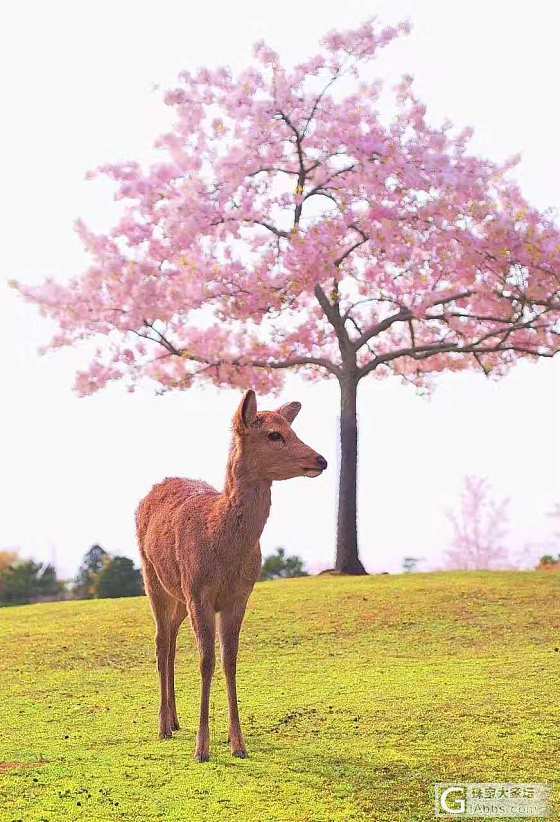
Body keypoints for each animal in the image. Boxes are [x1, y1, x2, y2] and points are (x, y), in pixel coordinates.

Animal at [136, 390, 328, 764]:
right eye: (274, 434)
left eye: (292, 429)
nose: (321, 460)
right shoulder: (200, 593)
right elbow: (206, 661)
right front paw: (202, 749)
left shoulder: (239, 596)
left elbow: (230, 661)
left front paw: (237, 743)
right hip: (153, 577)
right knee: (160, 641)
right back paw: (163, 726)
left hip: (179, 594)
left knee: (171, 640)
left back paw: (176, 721)